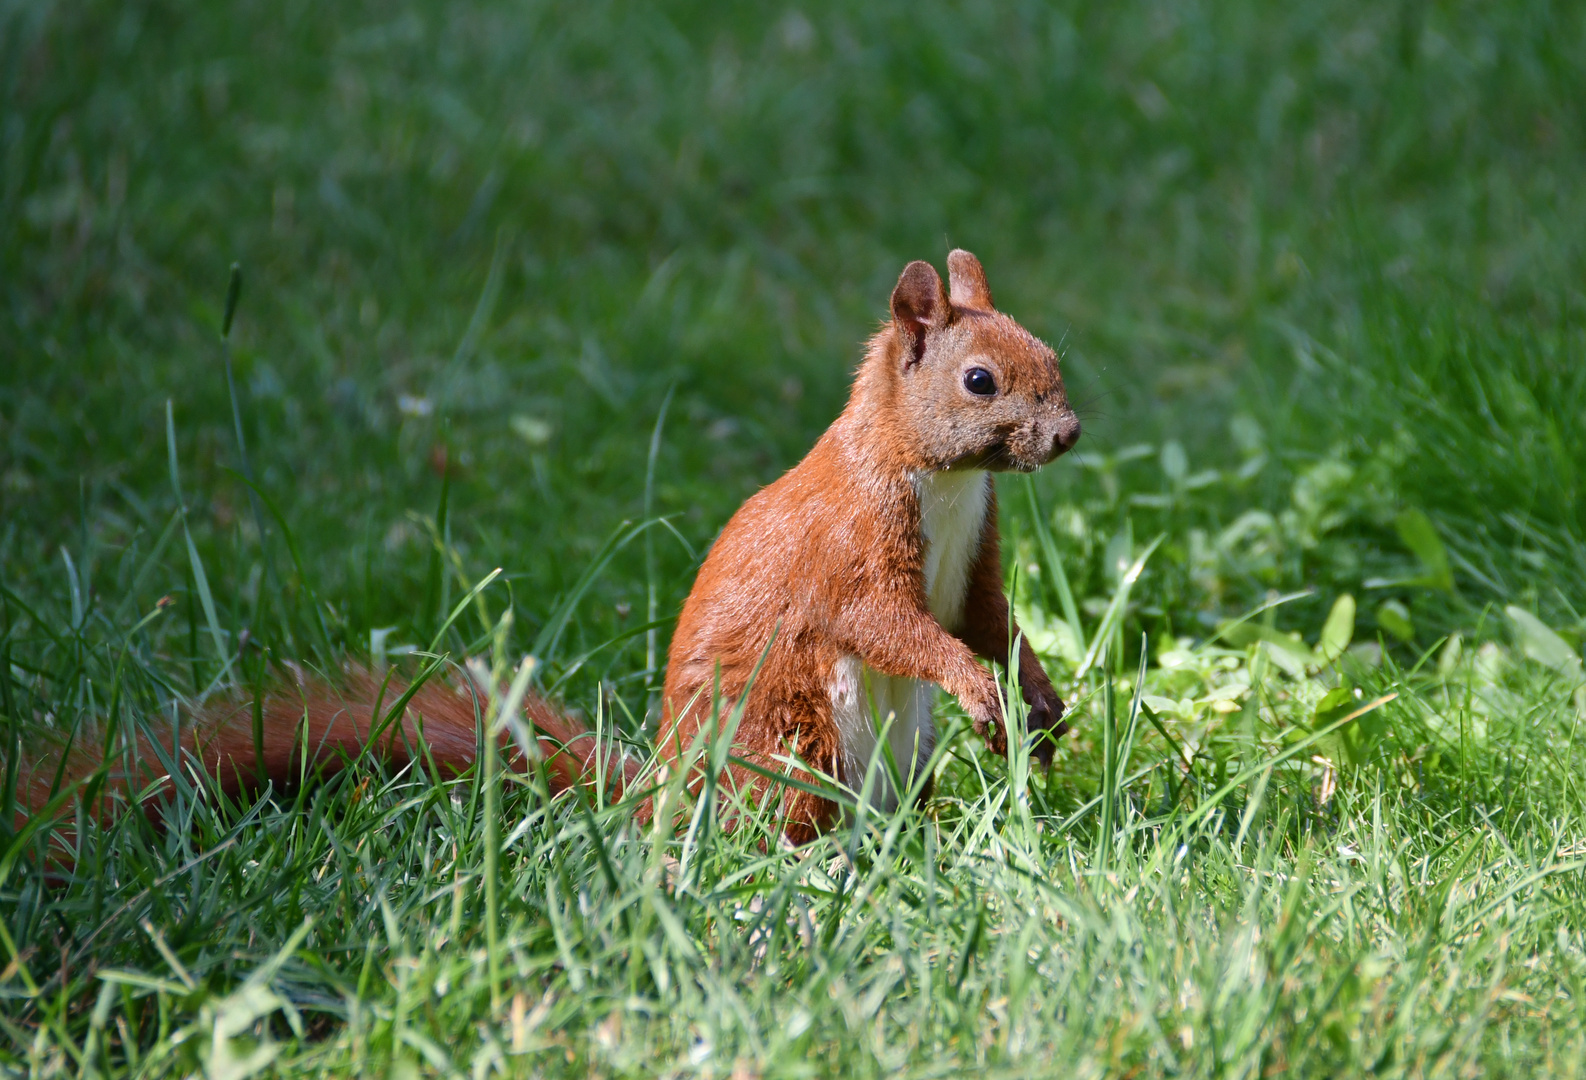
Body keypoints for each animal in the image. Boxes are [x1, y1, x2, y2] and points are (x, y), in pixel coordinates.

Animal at [12, 250, 1078, 843]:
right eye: (979, 381)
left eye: (1052, 356)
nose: (1066, 434)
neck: (939, 478)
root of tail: (664, 798)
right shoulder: (852, 545)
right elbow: (895, 625)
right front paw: (979, 688)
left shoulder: (972, 557)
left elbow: (986, 619)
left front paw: (1038, 697)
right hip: (792, 739)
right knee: (780, 826)